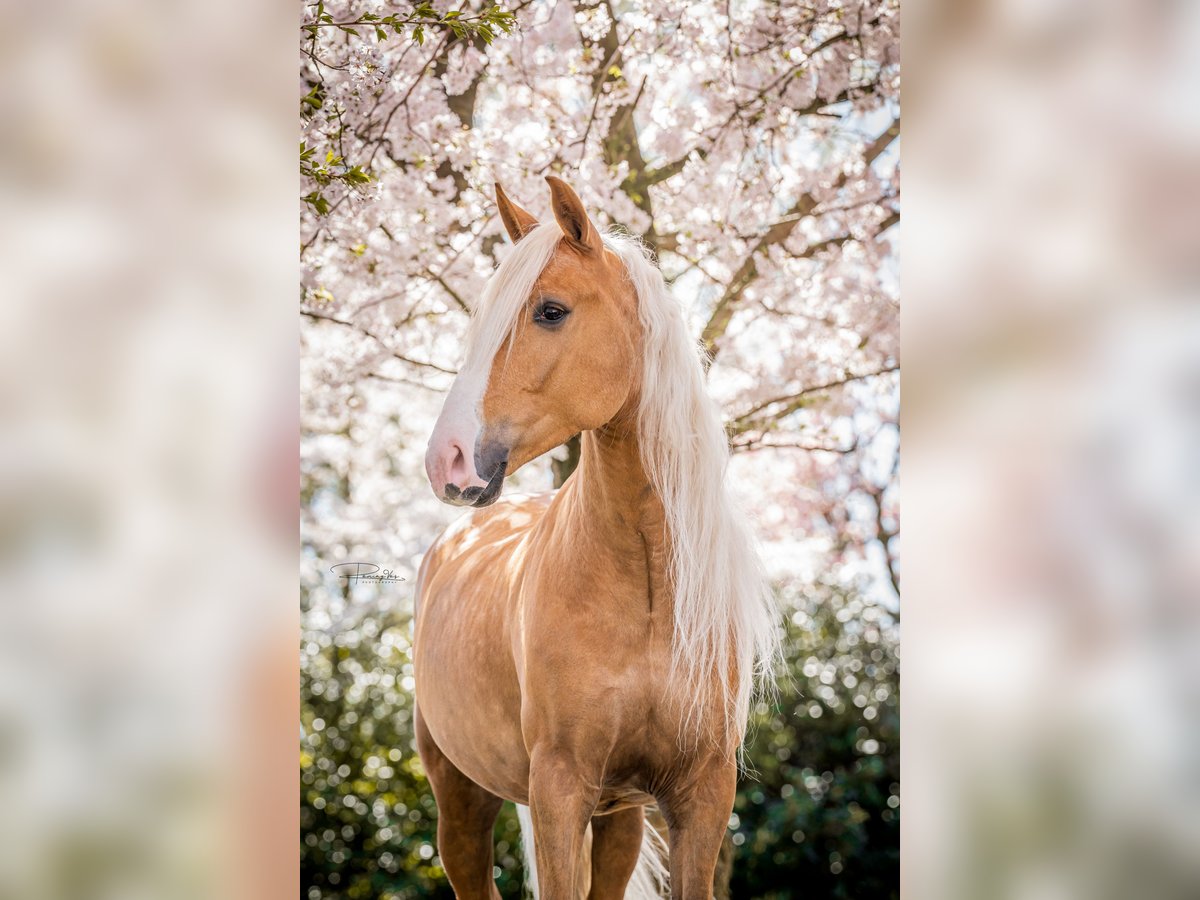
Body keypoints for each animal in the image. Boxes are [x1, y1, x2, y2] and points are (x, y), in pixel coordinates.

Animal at [417, 176, 782, 900]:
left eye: (551, 311)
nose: (448, 460)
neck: (644, 580)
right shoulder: (560, 790)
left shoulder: (701, 794)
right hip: (461, 801)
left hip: (621, 817)